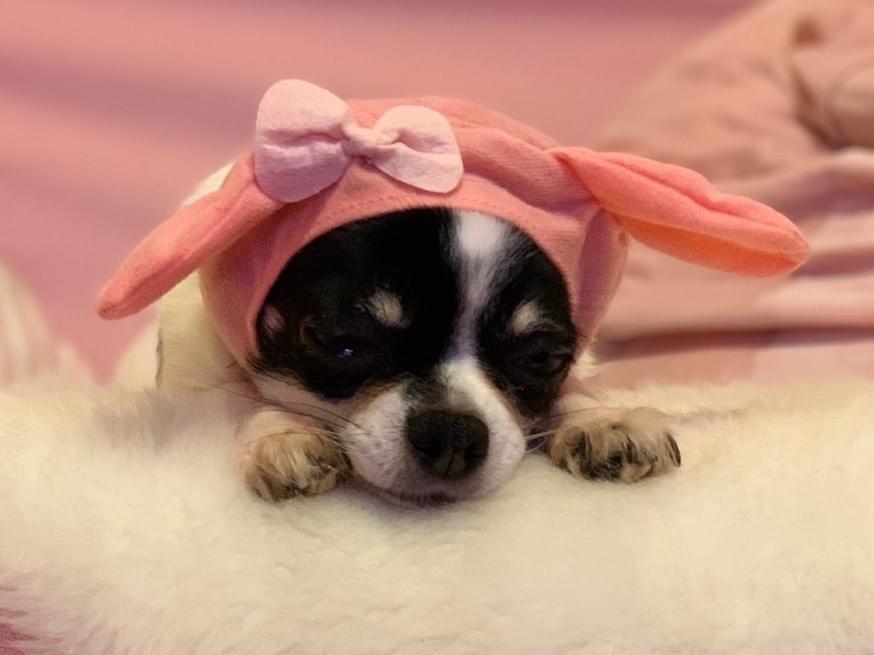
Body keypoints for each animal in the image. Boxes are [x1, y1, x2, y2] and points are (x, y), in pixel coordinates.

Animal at [154, 168, 681, 505]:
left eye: (543, 360)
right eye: (342, 343)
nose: (453, 434)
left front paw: (602, 419)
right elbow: (237, 393)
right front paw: (283, 430)